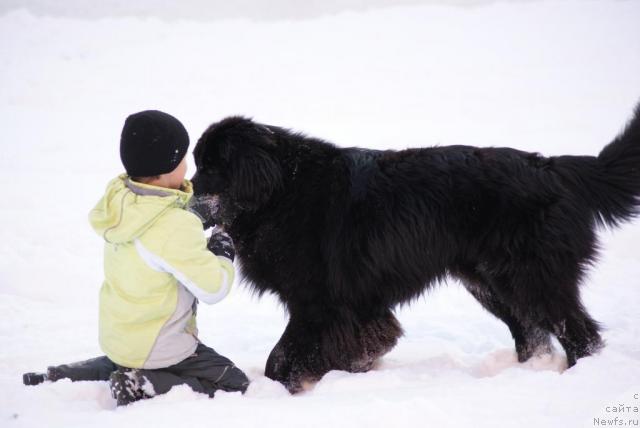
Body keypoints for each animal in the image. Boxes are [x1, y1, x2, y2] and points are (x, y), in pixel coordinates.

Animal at [190, 103, 640, 392]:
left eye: (212, 168)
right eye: (197, 166)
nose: (188, 201)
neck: (281, 192)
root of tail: (555, 168)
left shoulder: (319, 303)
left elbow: (284, 355)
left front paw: (286, 385)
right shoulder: (350, 306)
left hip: (534, 277)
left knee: (578, 332)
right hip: (491, 282)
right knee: (531, 330)